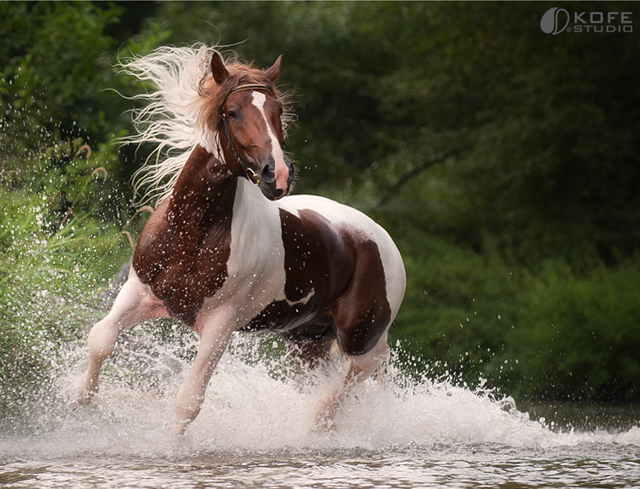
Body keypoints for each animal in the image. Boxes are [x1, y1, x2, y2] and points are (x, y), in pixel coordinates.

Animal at [72, 45, 404, 434]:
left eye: (278, 111)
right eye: (232, 112)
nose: (277, 175)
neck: (191, 234)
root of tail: (382, 239)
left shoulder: (221, 323)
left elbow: (189, 400)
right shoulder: (140, 291)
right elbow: (101, 339)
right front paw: (79, 404)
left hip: (359, 335)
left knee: (363, 368)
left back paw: (318, 422)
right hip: (307, 339)